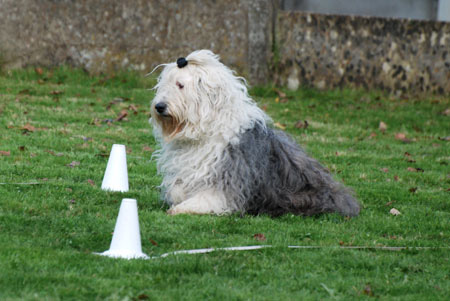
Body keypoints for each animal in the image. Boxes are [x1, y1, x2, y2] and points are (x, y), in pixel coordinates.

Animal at [149, 50, 360, 217]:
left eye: (180, 85)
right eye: (165, 84)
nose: (159, 106)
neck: (207, 130)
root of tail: (341, 196)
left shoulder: (228, 181)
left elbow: (206, 199)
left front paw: (179, 209)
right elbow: (177, 189)